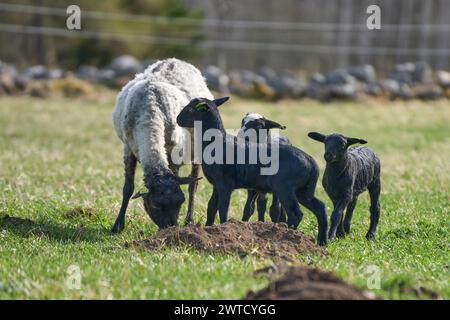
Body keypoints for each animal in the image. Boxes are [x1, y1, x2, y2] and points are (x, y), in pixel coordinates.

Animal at [176, 97, 326, 245]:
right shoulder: (216, 184)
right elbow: (211, 207)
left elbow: (223, 208)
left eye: (191, 109)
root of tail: (311, 161)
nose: (178, 120)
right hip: (302, 190)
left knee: (295, 213)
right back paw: (321, 242)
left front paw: (224, 229)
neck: (217, 142)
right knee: (320, 208)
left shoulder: (225, 184)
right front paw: (208, 229)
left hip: (284, 188)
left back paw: (288, 235)